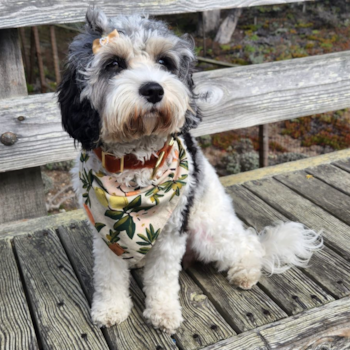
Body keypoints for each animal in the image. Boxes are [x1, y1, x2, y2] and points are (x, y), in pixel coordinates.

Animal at [57, 8, 322, 334]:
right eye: (114, 64)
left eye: (164, 62)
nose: (154, 89)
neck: (135, 161)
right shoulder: (104, 232)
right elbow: (108, 275)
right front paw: (110, 309)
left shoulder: (172, 230)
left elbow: (162, 278)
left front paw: (164, 313)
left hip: (209, 232)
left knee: (249, 245)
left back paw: (246, 272)